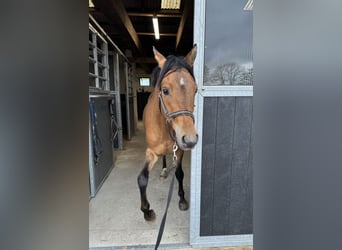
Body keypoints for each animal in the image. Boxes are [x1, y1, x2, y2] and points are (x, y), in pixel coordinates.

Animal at [138, 45, 199, 221]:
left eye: (195, 90)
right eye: (165, 90)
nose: (190, 139)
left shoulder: (179, 151)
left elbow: (179, 173)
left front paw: (182, 200)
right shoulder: (151, 152)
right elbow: (142, 179)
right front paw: (147, 211)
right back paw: (164, 170)